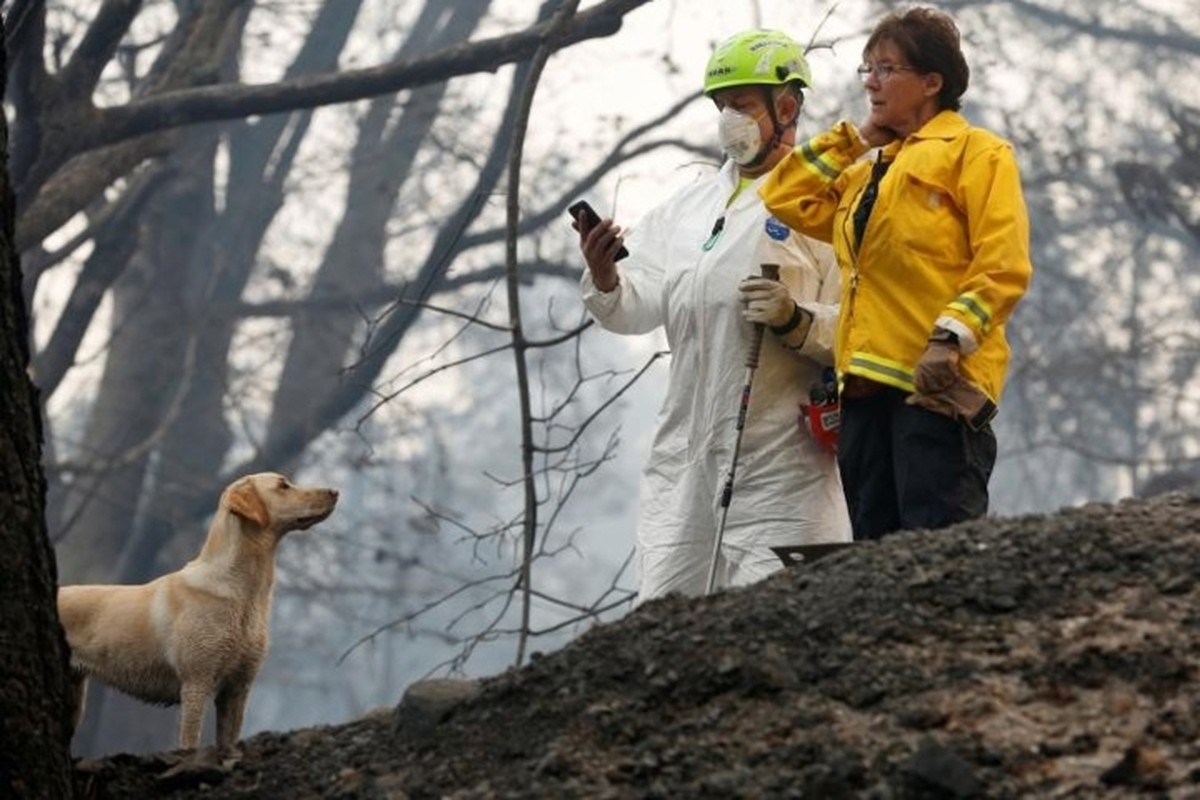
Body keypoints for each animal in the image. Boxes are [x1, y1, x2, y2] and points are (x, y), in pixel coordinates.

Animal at [56, 472, 338, 753]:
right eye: (282, 486)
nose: (335, 492)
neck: (244, 593)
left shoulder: (238, 688)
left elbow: (229, 739)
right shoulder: (196, 683)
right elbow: (190, 742)